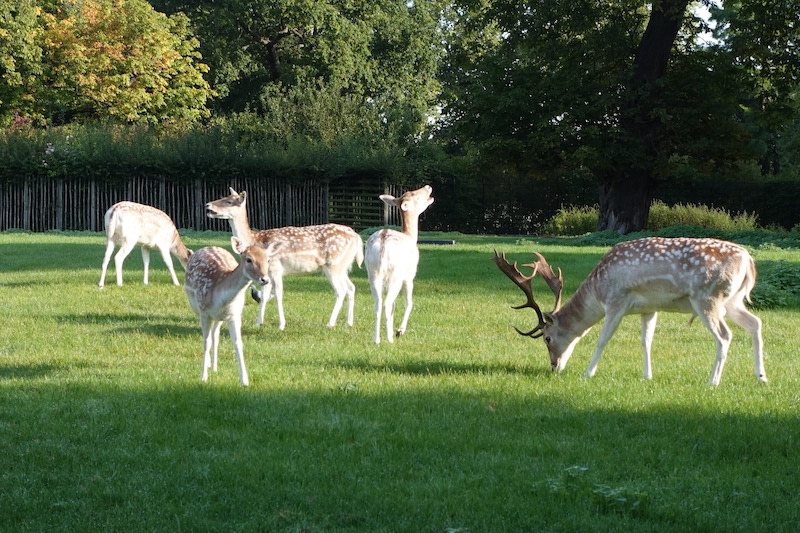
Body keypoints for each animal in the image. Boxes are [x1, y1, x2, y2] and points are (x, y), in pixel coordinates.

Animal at [184, 237, 275, 386]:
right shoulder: (204, 312)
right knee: (209, 337)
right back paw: (208, 365)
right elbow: (205, 342)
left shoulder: (234, 314)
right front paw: (203, 377)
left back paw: (214, 367)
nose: (265, 279)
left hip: (219, 317)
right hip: (198, 309)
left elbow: (238, 343)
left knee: (215, 335)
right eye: (249, 259)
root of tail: (208, 246)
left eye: (268, 259)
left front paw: (244, 380)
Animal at [205, 188, 364, 330]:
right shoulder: (266, 272)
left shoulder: (275, 267)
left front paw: (281, 325)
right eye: (225, 197)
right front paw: (258, 323)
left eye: (229, 201)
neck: (254, 239)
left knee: (341, 290)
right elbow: (264, 295)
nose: (207, 205)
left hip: (333, 264)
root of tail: (357, 237)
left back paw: (330, 323)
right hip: (343, 265)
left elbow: (278, 294)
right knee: (351, 287)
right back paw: (348, 323)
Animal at [365, 185, 434, 344]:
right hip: (395, 275)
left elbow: (394, 305)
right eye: (416, 196)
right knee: (387, 302)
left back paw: (377, 339)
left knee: (378, 303)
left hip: (372, 273)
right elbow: (409, 303)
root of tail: (383, 243)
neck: (410, 236)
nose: (428, 186)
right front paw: (399, 331)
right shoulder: (409, 276)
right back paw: (390, 339)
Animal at [493, 237, 766, 386]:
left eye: (547, 338)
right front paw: (647, 376)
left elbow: (602, 339)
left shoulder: (616, 301)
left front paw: (588, 373)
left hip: (708, 298)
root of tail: (748, 261)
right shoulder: (650, 308)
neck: (597, 290)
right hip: (733, 301)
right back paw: (761, 376)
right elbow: (646, 341)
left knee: (724, 336)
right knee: (755, 323)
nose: (554, 366)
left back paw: (713, 381)